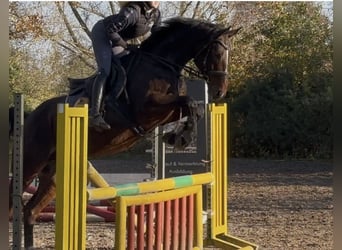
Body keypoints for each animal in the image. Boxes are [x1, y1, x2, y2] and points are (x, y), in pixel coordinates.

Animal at [7, 17, 238, 248]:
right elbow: (188, 102)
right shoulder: (147, 109)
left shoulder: (165, 113)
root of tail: (29, 116)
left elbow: (194, 108)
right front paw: (181, 137)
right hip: (30, 164)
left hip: (52, 176)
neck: (160, 64)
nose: (219, 92)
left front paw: (179, 137)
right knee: (12, 202)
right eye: (217, 53)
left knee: (30, 211)